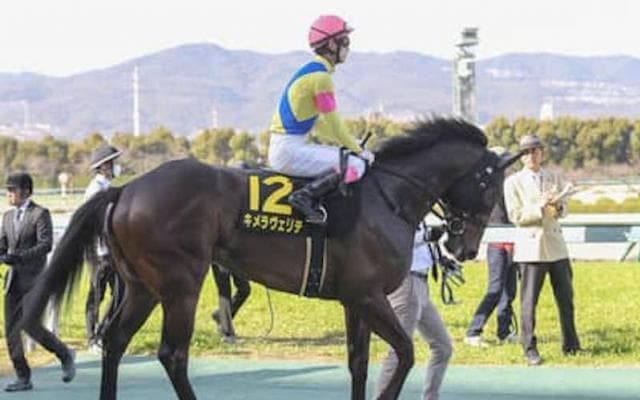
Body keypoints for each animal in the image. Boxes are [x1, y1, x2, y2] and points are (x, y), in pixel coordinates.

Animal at [20, 118, 521, 400]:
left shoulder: (355, 300)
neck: (389, 196)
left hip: (142, 286)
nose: (465, 248)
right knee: (172, 354)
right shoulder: (369, 296)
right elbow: (405, 352)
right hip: (182, 284)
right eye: (490, 186)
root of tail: (127, 189)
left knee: (115, 341)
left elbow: (359, 363)